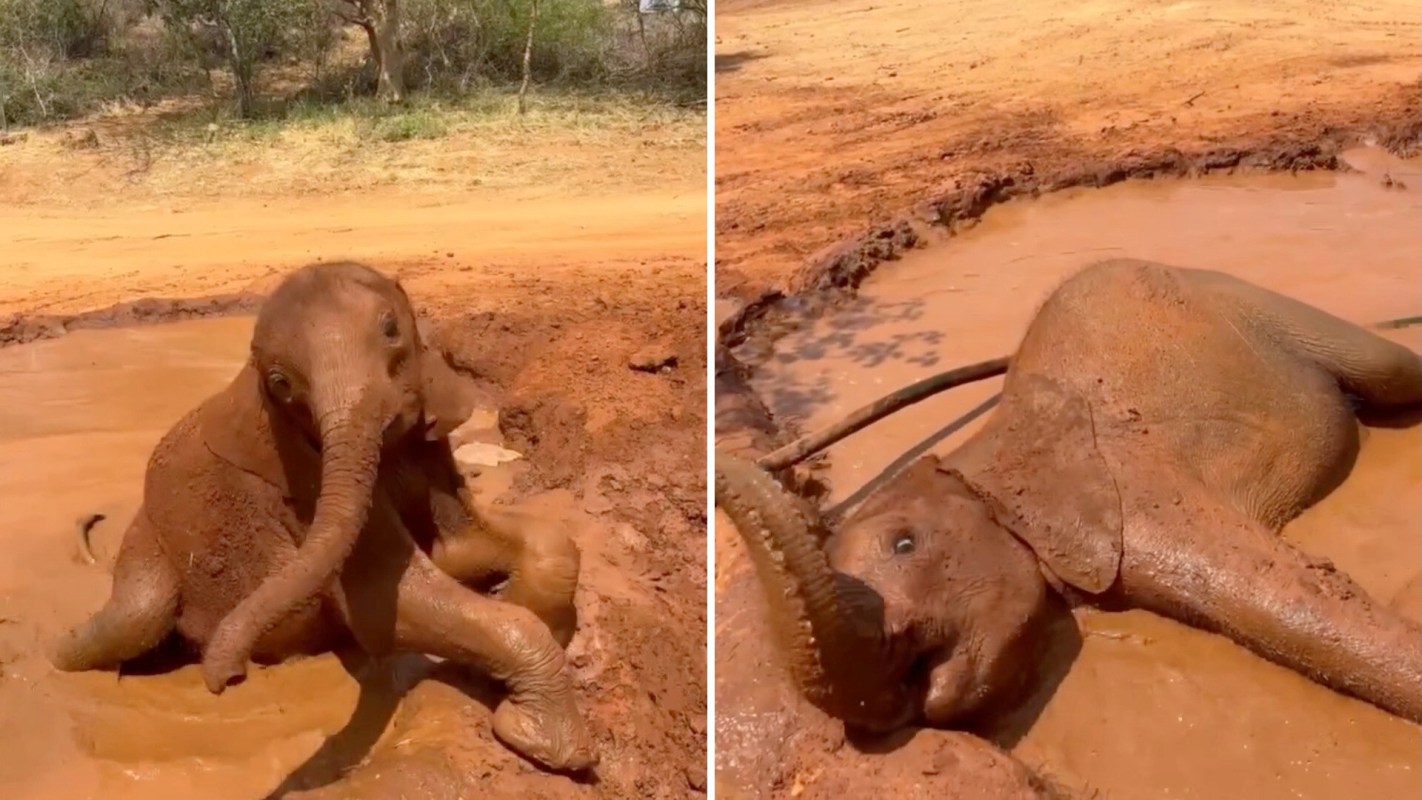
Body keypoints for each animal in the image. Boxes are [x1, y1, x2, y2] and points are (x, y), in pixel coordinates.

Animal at [50, 261, 596, 772]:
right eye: (281, 383)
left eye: (391, 329)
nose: (226, 679)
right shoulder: (302, 486)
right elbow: (389, 606)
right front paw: (547, 748)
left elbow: (492, 547)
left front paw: (530, 607)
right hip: (148, 548)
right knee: (135, 617)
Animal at [716, 258, 1422, 735]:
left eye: (905, 544)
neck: (978, 455)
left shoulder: (1133, 488)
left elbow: (1273, 597)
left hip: (1260, 305)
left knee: (1391, 369)